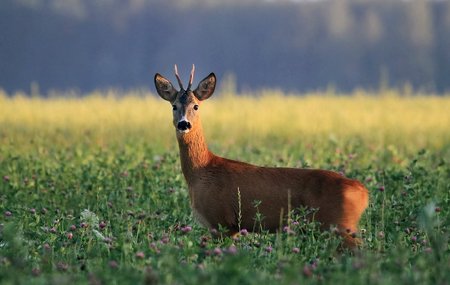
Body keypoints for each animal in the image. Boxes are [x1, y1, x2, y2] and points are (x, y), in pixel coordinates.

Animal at [155, 65, 370, 247]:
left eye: (196, 106)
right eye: (174, 106)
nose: (184, 124)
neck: (202, 171)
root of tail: (363, 192)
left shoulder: (221, 222)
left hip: (338, 225)